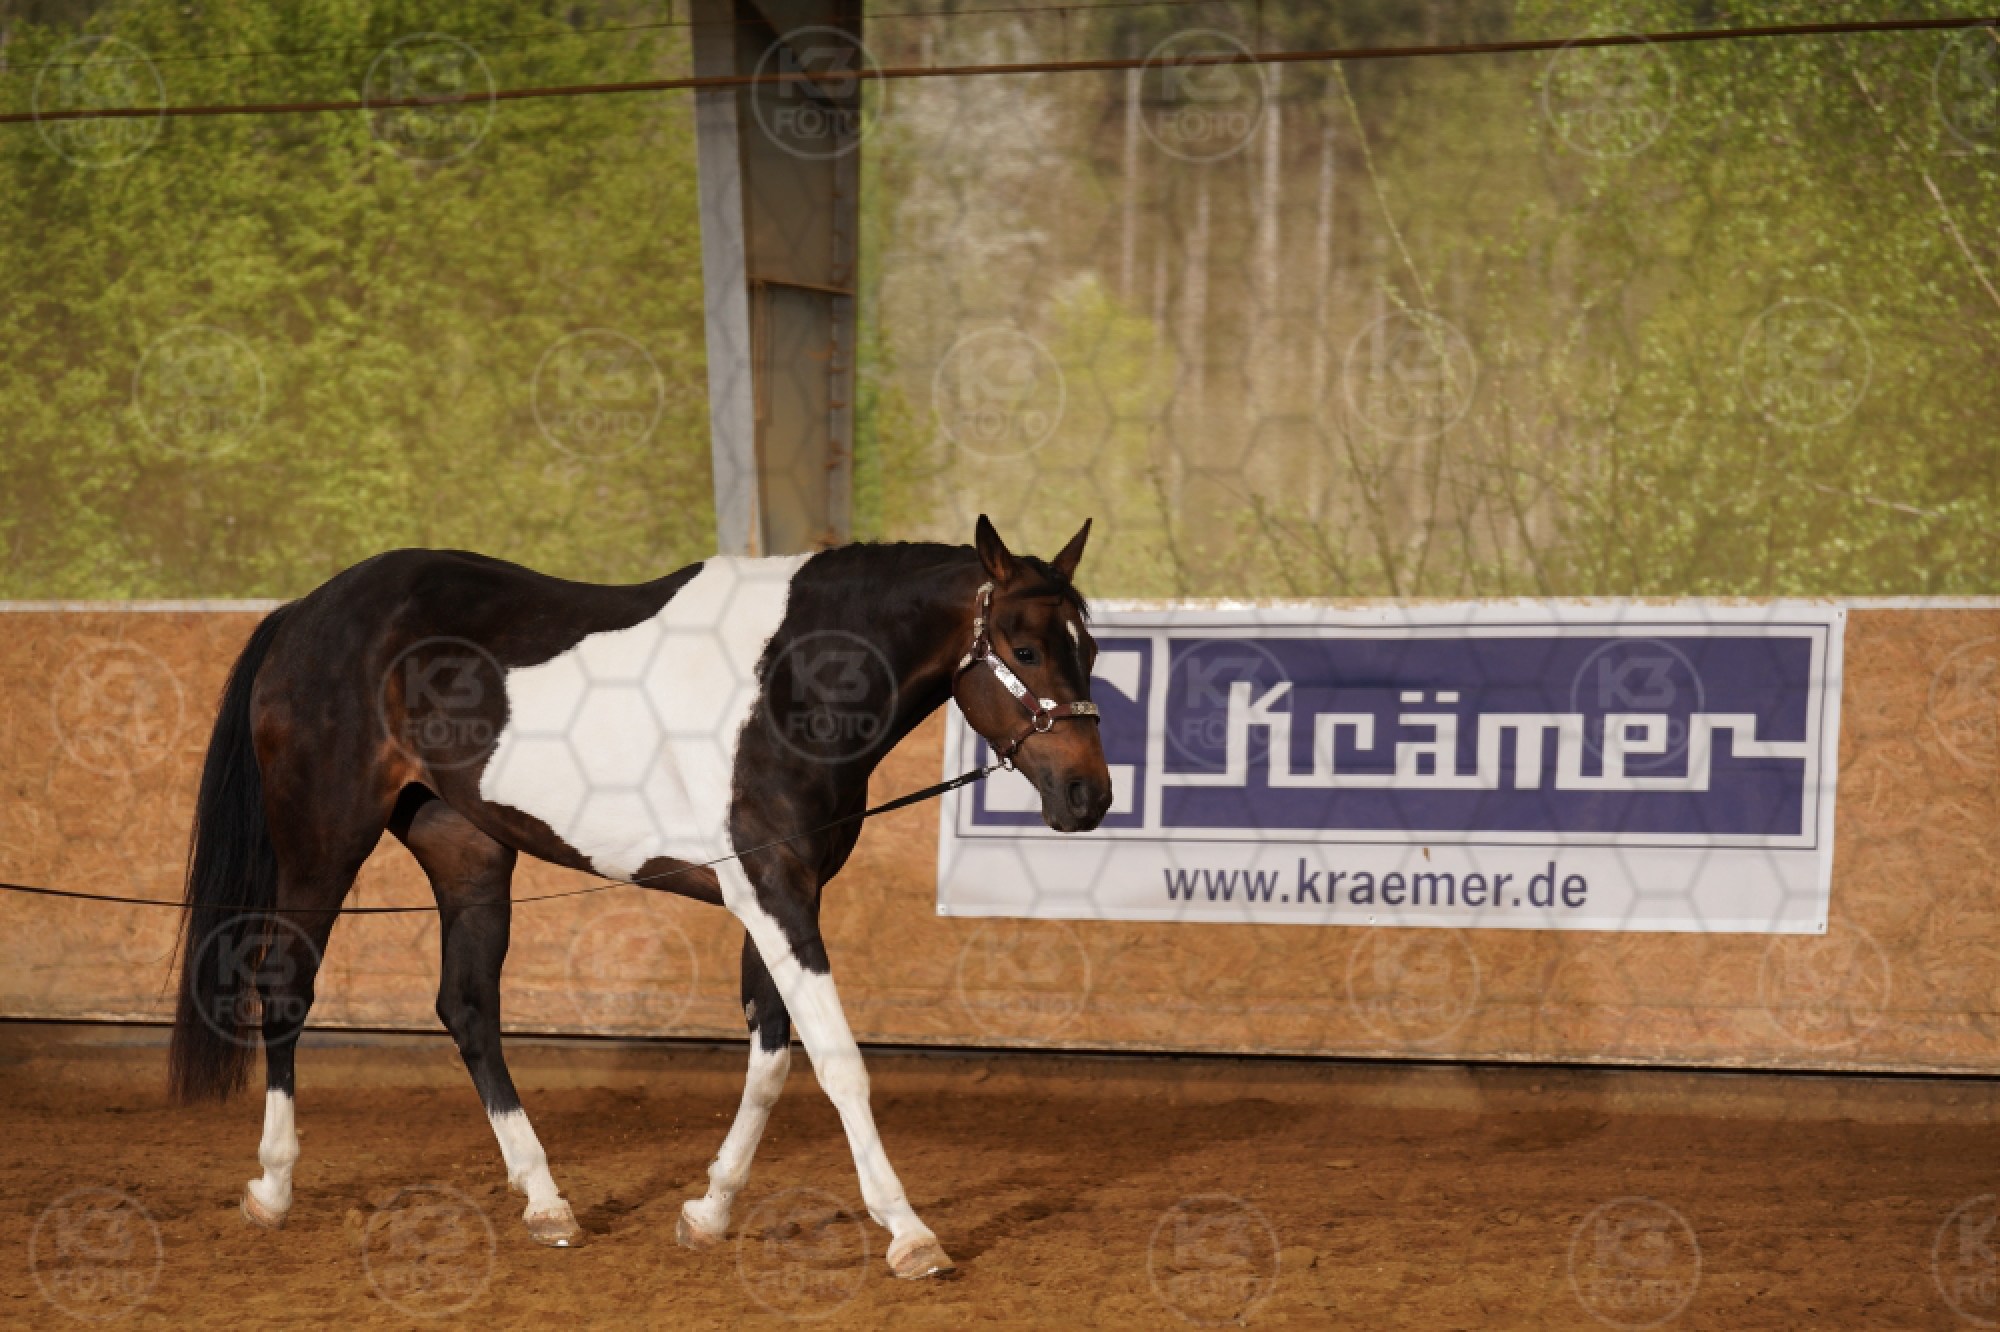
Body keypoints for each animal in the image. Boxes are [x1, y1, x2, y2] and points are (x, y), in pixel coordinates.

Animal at [166, 515, 1109, 1280]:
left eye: (1090, 649)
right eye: (1025, 650)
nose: (1088, 796)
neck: (791, 681)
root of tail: (306, 611)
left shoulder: (778, 893)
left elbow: (771, 1059)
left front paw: (710, 1210)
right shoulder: (773, 893)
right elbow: (839, 1061)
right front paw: (910, 1234)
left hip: (467, 851)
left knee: (468, 1008)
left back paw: (546, 1202)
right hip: (324, 840)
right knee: (286, 985)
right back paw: (273, 1187)